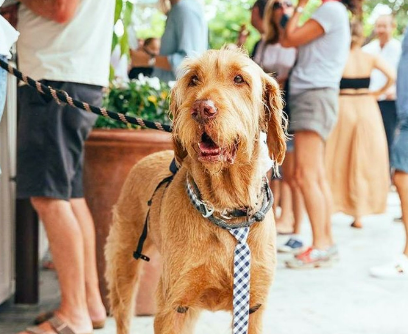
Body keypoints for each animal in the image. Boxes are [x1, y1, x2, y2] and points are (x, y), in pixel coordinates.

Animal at [105, 47, 286, 334]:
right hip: (124, 261)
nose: (202, 109)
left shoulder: (252, 307)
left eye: (239, 79)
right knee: (123, 312)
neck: (226, 209)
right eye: (193, 80)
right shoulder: (173, 306)